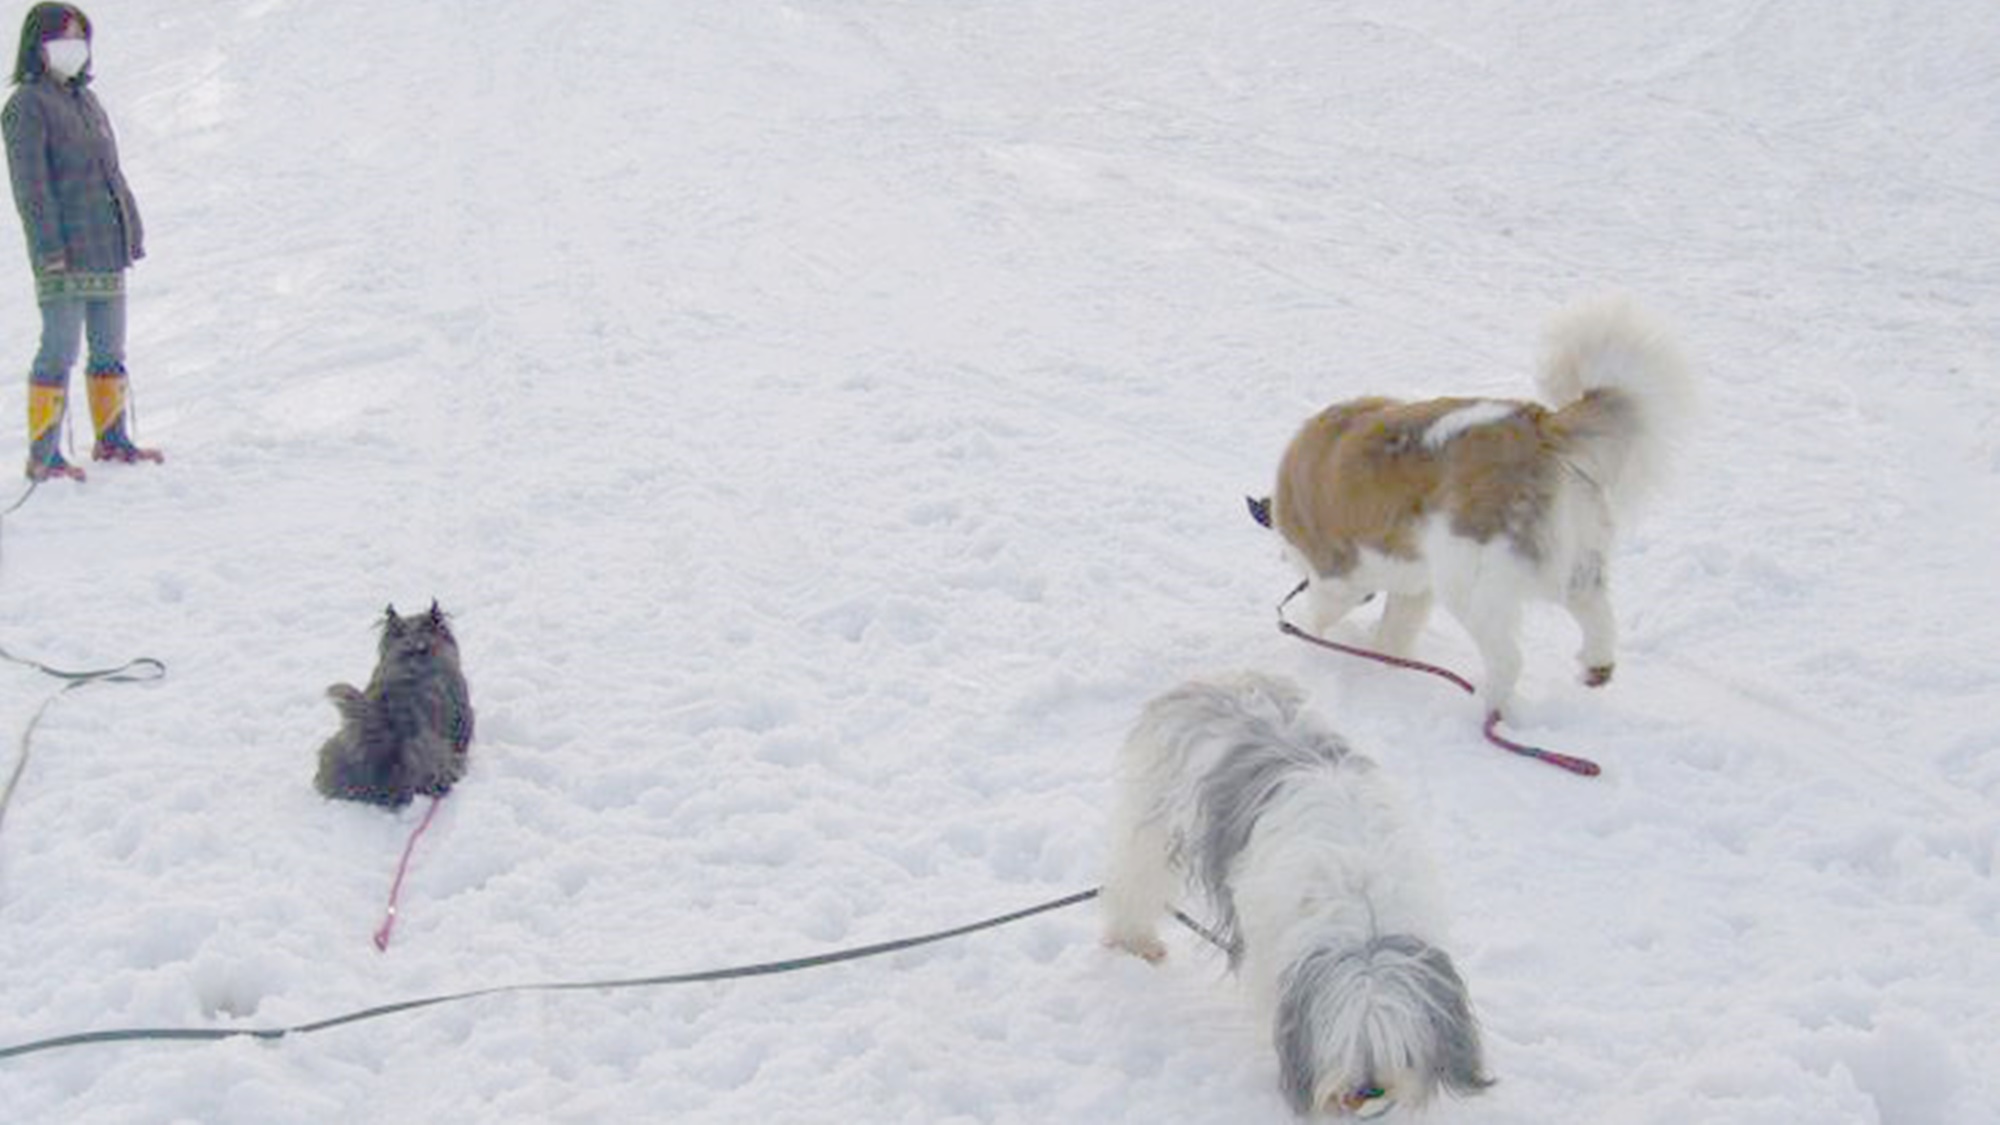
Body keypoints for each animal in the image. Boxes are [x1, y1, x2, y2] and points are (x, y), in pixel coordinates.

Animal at [1104, 668, 1496, 1112]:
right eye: (1342, 1043)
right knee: (1134, 880)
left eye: (1400, 1048)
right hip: (1152, 819)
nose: (1367, 1090)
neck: (1361, 904)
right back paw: (1134, 938)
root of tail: (1215, 681)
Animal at [1264, 296, 1688, 716]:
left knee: (1509, 659)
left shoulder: (1339, 579)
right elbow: (1394, 632)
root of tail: (1540, 426)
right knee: (1593, 608)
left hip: (1469, 576)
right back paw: (1595, 666)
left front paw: (1316, 649)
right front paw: (1384, 659)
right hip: (1574, 555)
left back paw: (1486, 706)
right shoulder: (1414, 588)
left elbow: (1318, 618)